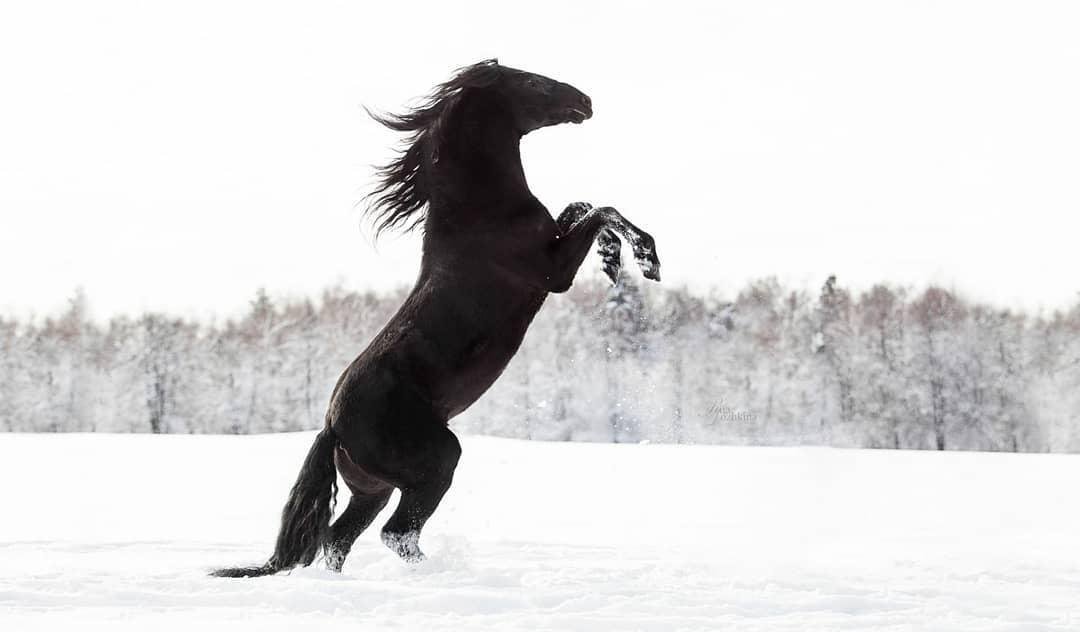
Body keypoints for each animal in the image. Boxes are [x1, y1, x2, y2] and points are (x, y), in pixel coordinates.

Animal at [211, 59, 660, 577]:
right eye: (530, 81)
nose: (584, 101)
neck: (480, 208)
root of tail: (332, 427)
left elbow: (583, 206)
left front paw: (612, 260)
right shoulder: (553, 272)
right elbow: (601, 209)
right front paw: (645, 258)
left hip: (374, 488)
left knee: (338, 538)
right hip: (438, 459)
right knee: (395, 533)